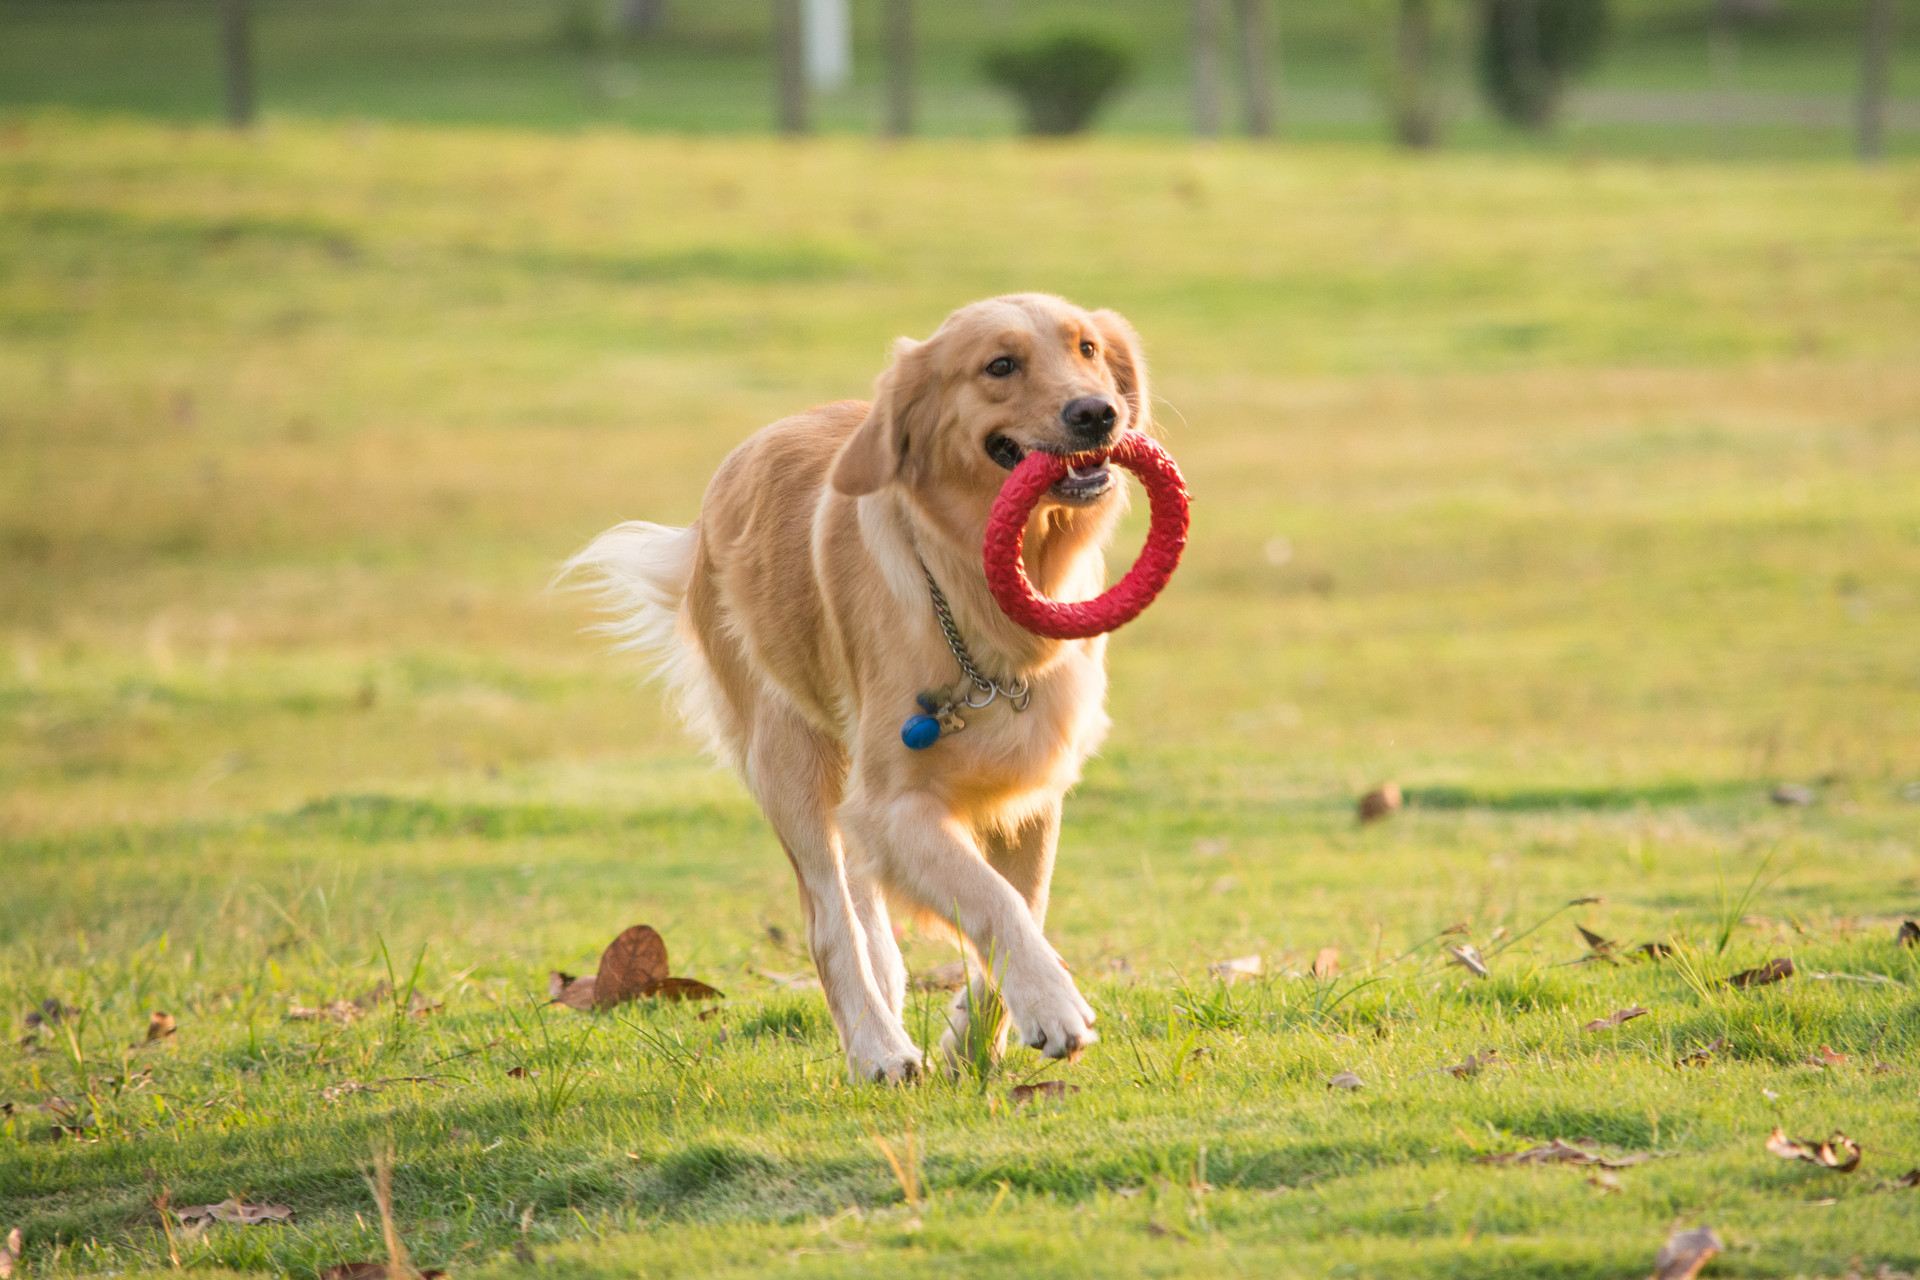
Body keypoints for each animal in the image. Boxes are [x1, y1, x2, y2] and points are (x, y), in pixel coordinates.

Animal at [560, 293, 1144, 1082]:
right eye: (1000, 365)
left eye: (1087, 349)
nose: (1098, 413)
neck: (973, 591)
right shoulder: (894, 803)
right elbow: (992, 901)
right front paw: (1052, 1006)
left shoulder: (1028, 790)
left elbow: (1025, 901)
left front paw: (973, 1036)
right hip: (788, 760)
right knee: (829, 921)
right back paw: (877, 1047)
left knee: (867, 912)